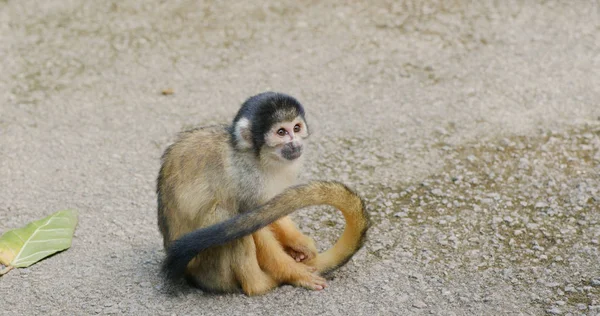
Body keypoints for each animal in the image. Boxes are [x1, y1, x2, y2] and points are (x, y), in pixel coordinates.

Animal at [157, 92, 368, 296]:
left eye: (297, 128)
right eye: (281, 132)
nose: (295, 143)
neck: (258, 156)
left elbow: (271, 210)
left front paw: (300, 243)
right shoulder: (247, 178)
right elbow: (256, 225)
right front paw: (295, 273)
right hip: (209, 271)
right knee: (225, 217)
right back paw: (260, 284)